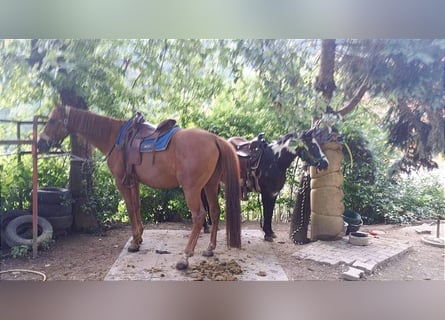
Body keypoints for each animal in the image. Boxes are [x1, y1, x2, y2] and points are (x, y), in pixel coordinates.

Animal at [38, 105, 241, 270]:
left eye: (53, 120)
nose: (40, 143)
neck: (114, 137)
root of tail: (214, 138)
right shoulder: (134, 181)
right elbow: (136, 206)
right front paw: (139, 238)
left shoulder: (121, 182)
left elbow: (129, 208)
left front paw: (135, 242)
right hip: (210, 185)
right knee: (215, 211)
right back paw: (209, 248)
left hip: (192, 189)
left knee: (199, 216)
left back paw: (185, 257)